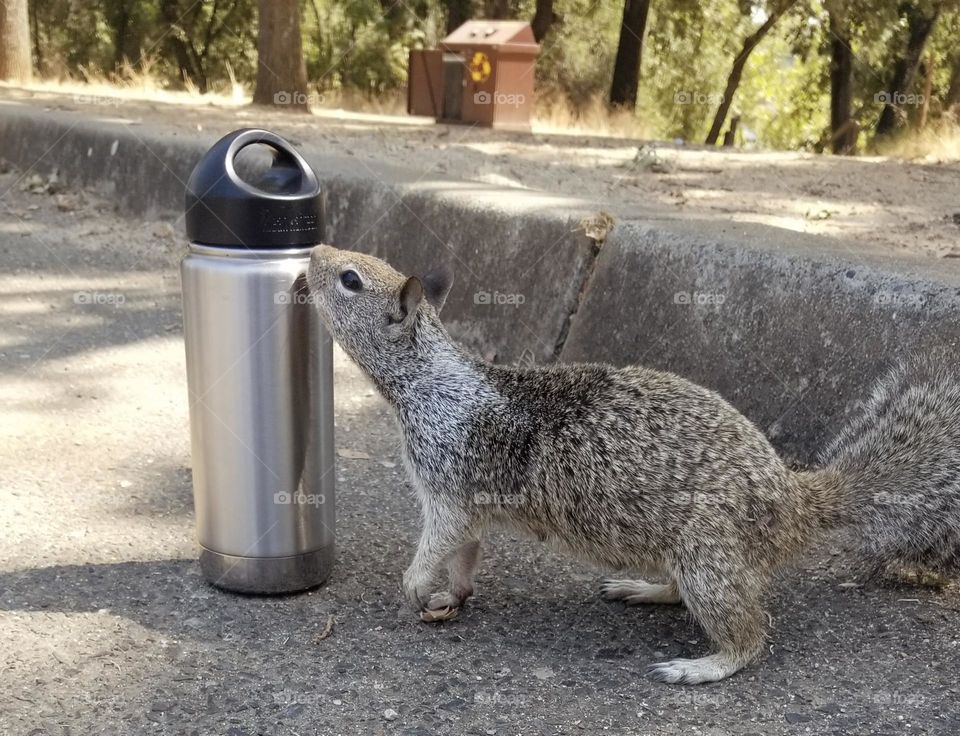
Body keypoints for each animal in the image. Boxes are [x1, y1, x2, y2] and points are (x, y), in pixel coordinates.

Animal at [306, 246, 960, 684]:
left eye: (350, 278)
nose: (314, 251)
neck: (426, 384)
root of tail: (791, 503)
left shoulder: (449, 489)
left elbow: (439, 542)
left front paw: (417, 586)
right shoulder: (467, 502)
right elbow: (466, 553)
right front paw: (455, 594)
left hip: (708, 559)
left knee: (751, 634)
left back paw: (702, 666)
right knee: (685, 595)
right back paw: (642, 589)